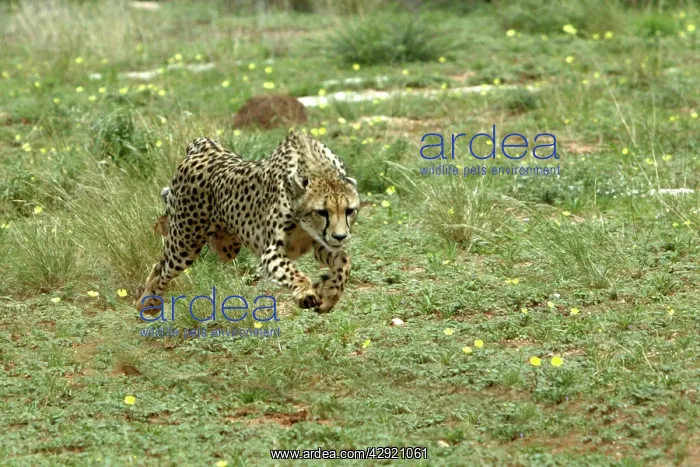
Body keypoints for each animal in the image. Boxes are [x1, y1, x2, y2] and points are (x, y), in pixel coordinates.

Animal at [135, 130, 360, 314]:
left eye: (349, 211)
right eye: (322, 212)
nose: (340, 236)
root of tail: (207, 146)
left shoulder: (319, 242)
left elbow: (344, 260)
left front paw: (330, 292)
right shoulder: (272, 252)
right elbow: (292, 271)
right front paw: (305, 292)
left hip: (227, 247)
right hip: (186, 244)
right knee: (162, 267)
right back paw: (148, 302)